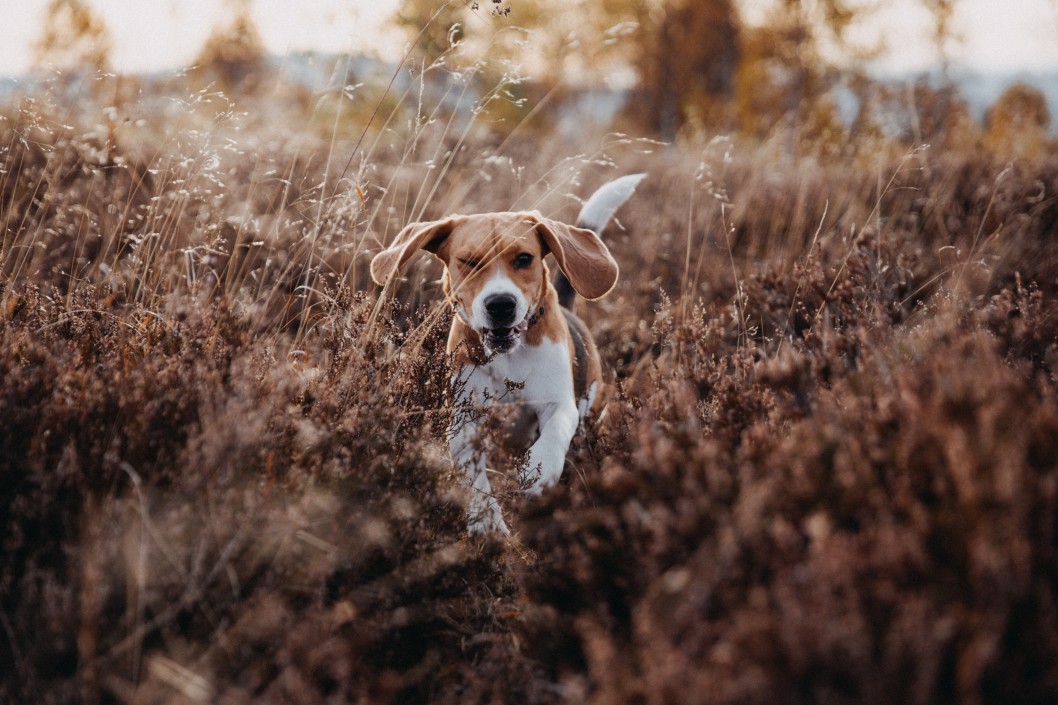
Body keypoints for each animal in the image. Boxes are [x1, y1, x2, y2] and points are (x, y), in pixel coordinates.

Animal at [372, 172, 651, 529]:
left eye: (524, 259)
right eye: (469, 262)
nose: (501, 304)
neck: (509, 357)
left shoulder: (559, 406)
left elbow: (552, 436)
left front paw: (537, 473)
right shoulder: (464, 420)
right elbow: (473, 475)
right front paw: (486, 523)